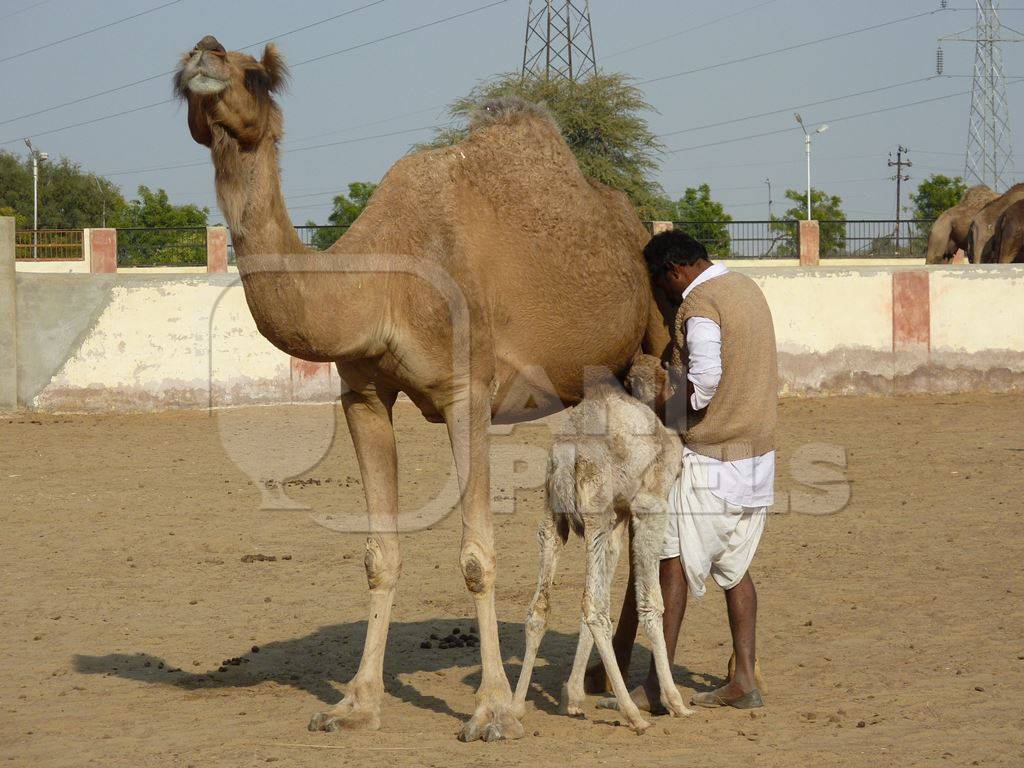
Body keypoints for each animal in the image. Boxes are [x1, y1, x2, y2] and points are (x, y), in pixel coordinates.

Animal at [174, 37, 671, 745]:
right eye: (182, 69)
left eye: (256, 75)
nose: (204, 55)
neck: (379, 283)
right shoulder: (362, 395)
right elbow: (380, 554)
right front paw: (354, 704)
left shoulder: (469, 392)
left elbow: (477, 556)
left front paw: (492, 712)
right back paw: (596, 685)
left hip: (655, 344)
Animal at [516, 354, 692, 733]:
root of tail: (567, 457)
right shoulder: (650, 505)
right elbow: (651, 603)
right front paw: (675, 702)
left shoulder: (619, 516)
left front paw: (572, 697)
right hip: (597, 512)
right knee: (594, 608)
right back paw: (633, 714)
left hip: (555, 516)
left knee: (544, 606)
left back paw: (514, 706)